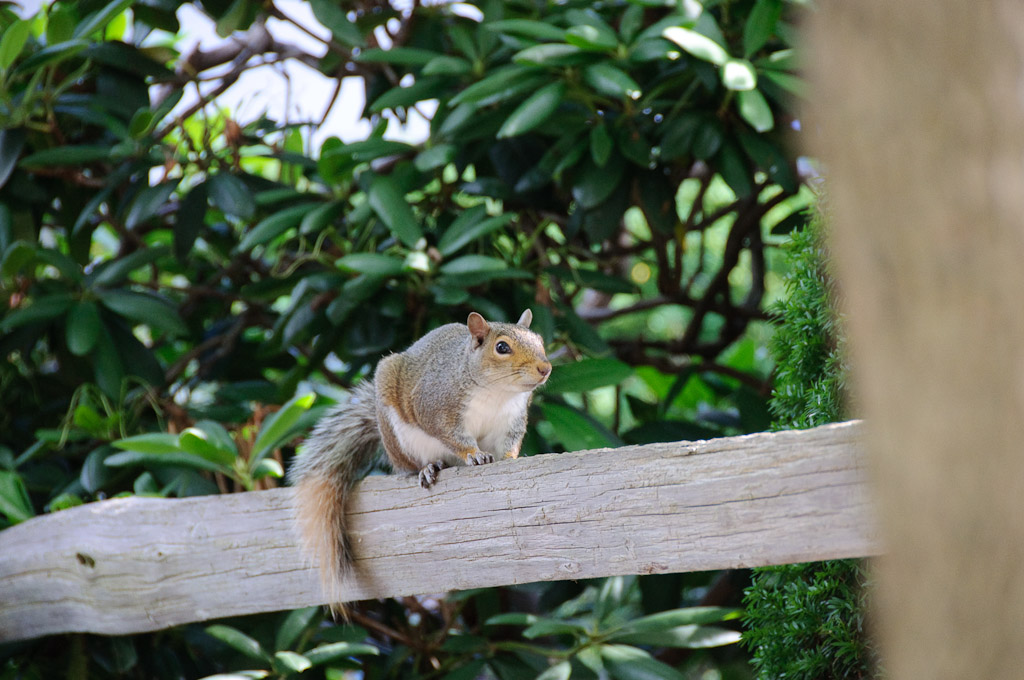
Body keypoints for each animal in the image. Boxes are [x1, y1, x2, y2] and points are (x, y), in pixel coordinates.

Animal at [288, 307, 552, 606]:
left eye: (540, 341)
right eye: (502, 347)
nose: (545, 369)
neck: (497, 393)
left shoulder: (511, 421)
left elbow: (510, 444)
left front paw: (511, 459)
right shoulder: (435, 408)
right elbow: (453, 437)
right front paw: (474, 455)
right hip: (399, 438)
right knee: (411, 465)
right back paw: (428, 468)